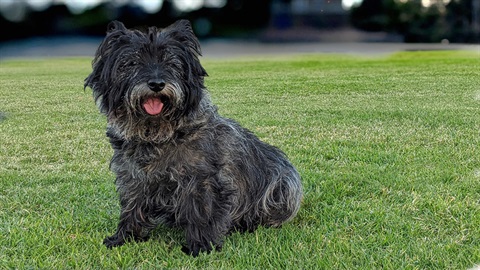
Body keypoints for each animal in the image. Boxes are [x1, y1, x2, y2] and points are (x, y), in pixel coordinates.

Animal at [84, 20, 302, 256]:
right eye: (132, 62)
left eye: (172, 63)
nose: (157, 84)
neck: (158, 136)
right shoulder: (133, 178)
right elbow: (132, 207)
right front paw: (124, 237)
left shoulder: (202, 181)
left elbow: (202, 212)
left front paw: (200, 247)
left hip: (283, 185)